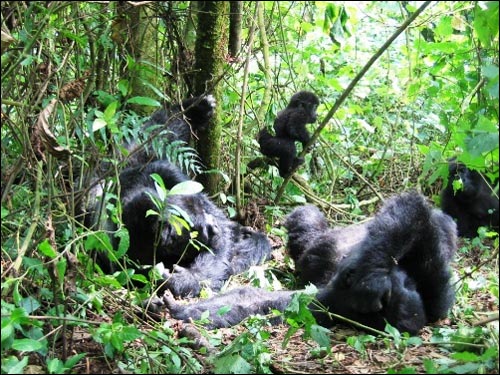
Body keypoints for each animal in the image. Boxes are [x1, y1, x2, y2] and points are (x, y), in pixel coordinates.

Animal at [87, 160, 274, 298]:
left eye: (202, 210)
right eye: (201, 229)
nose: (213, 225)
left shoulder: (166, 171)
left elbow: (223, 241)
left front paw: (185, 280)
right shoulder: (124, 242)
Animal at [164, 192, 458, 336]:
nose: (347, 277)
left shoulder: (331, 305)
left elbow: (260, 302)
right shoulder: (432, 285)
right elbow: (417, 213)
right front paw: (373, 275)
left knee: (305, 225)